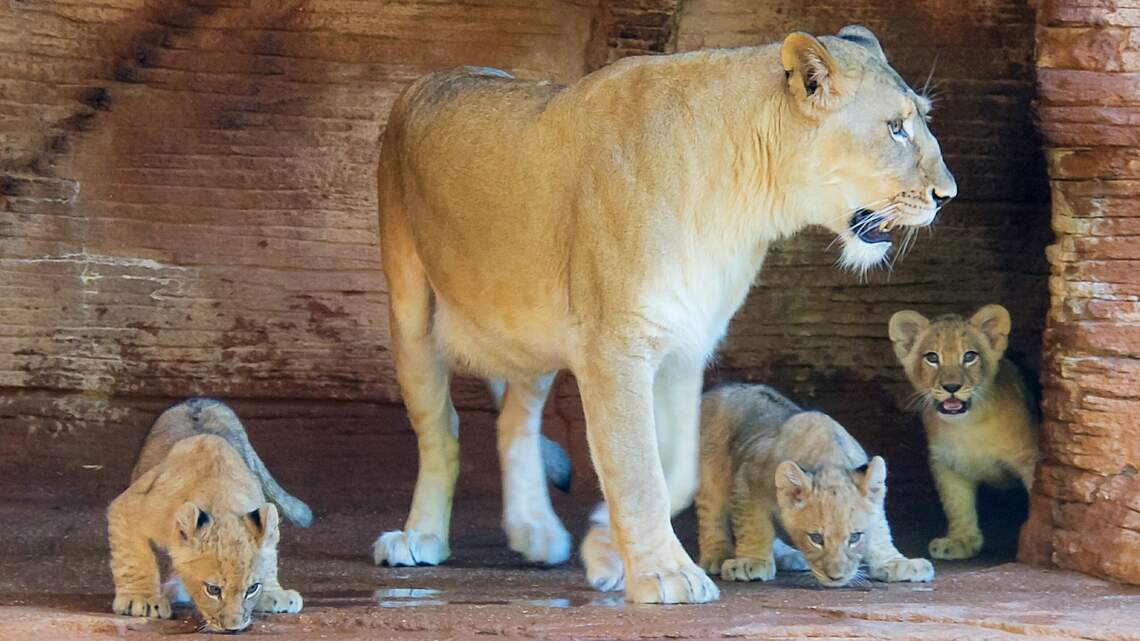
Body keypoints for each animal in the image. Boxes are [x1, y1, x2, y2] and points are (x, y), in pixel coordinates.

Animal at [107, 399, 308, 632]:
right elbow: (133, 558)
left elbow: (269, 556)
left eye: (252, 589)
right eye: (213, 590)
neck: (221, 498)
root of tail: (199, 400)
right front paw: (141, 600)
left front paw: (273, 594)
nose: (233, 628)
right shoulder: (129, 505)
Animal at [695, 383, 933, 587]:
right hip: (708, 473)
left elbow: (881, 530)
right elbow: (753, 525)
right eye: (816, 538)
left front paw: (896, 562)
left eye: (855, 537)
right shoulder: (747, 479)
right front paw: (752, 562)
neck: (830, 460)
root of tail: (717, 390)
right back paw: (719, 555)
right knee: (711, 515)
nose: (836, 577)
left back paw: (789, 555)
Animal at [888, 305, 1040, 560]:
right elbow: (956, 505)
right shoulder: (946, 462)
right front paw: (960, 541)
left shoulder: (1029, 457)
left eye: (969, 356)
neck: (967, 426)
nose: (952, 387)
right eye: (932, 358)